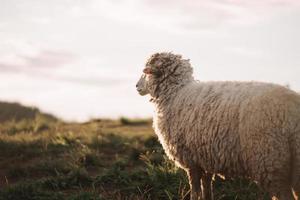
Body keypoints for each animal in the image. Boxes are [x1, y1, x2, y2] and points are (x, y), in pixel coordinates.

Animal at [135, 52, 300, 199]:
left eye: (146, 71)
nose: (137, 86)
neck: (175, 92)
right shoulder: (206, 157)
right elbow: (207, 187)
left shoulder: (191, 160)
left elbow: (195, 190)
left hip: (270, 160)